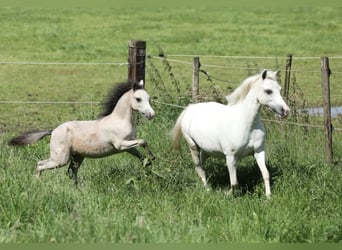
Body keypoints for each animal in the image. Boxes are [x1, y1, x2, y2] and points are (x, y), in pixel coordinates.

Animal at [8, 80, 155, 184]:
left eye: (149, 98)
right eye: (138, 99)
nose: (151, 114)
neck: (120, 121)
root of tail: (53, 131)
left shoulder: (127, 147)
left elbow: (140, 152)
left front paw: (148, 161)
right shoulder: (120, 144)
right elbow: (143, 141)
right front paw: (151, 158)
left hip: (77, 157)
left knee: (70, 173)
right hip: (60, 159)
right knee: (40, 165)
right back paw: (37, 183)